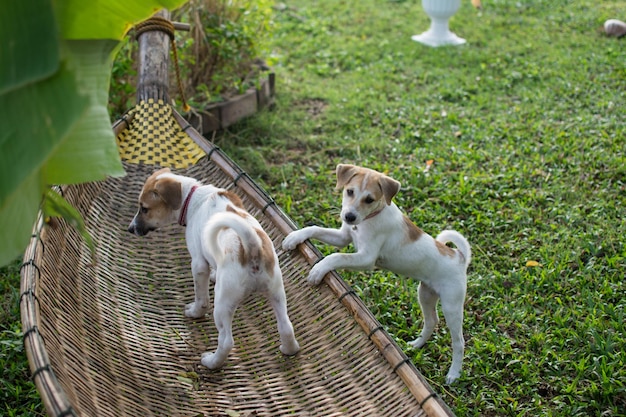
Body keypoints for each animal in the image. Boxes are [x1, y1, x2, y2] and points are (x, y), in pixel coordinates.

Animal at [128, 167, 298, 368]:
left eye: (144, 208)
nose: (130, 229)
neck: (192, 197)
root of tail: (252, 247)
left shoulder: (198, 263)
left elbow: (201, 298)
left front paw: (195, 312)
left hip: (223, 304)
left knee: (226, 341)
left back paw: (211, 362)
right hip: (276, 292)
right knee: (286, 327)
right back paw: (289, 349)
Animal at [282, 163, 468, 384]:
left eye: (369, 199)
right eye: (349, 191)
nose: (349, 217)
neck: (369, 218)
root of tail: (459, 257)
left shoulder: (366, 258)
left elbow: (337, 256)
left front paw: (319, 269)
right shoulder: (343, 237)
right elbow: (315, 228)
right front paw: (295, 236)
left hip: (451, 305)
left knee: (459, 341)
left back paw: (454, 374)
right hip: (425, 294)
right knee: (432, 321)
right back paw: (416, 345)